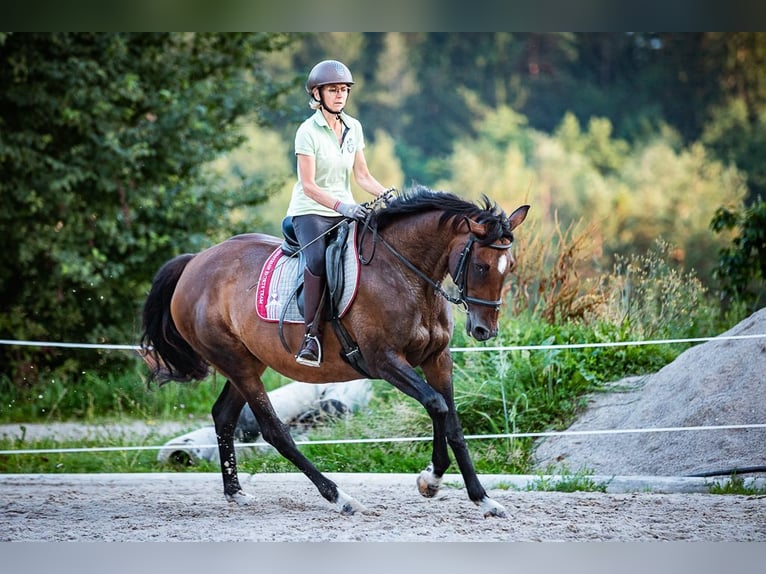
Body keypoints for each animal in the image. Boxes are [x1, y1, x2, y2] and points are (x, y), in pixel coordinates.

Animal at [141, 187, 532, 520]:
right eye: (481, 266)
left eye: (509, 267)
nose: (484, 330)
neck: (406, 275)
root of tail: (195, 262)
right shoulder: (384, 361)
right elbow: (436, 405)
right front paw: (431, 479)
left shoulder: (437, 359)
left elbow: (452, 422)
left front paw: (482, 498)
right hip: (237, 363)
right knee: (274, 431)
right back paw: (340, 497)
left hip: (248, 362)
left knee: (223, 416)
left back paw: (235, 492)